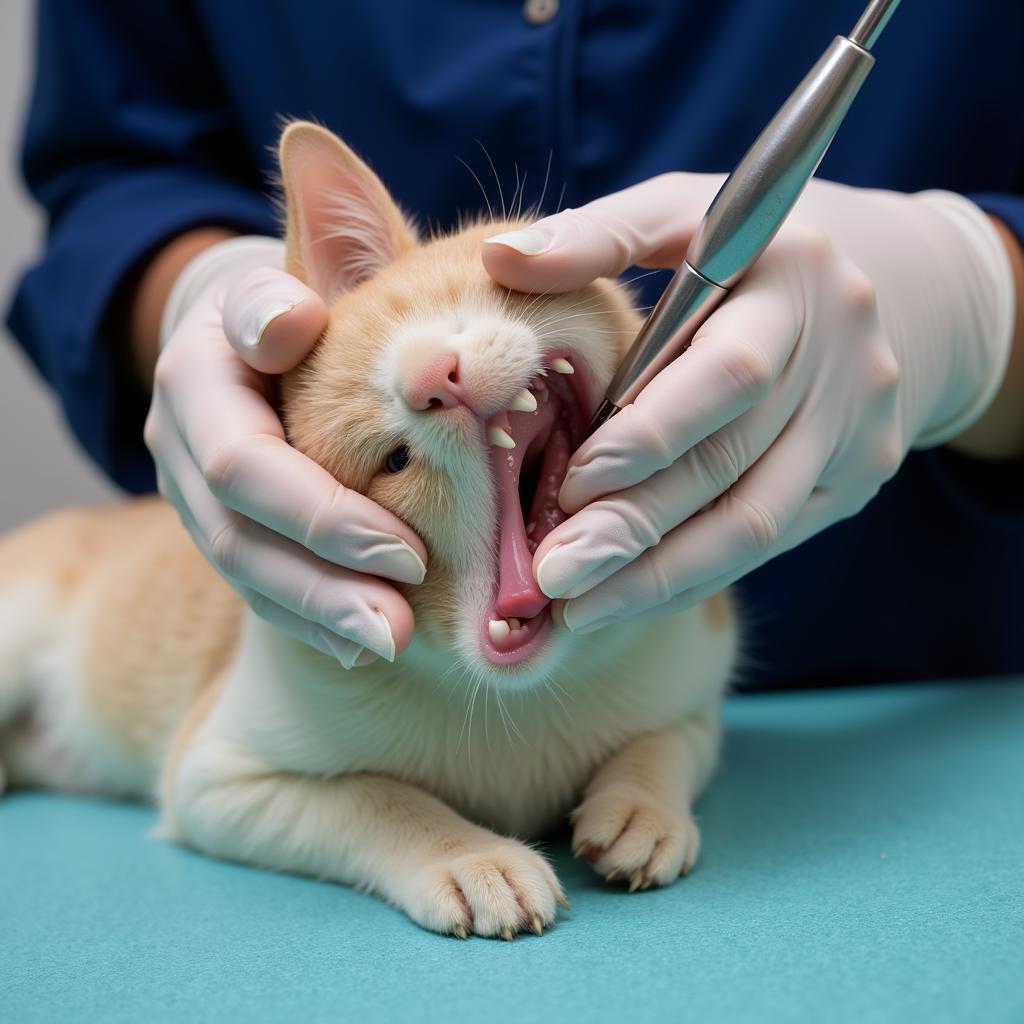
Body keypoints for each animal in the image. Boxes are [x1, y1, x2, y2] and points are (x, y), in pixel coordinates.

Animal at [0, 119, 737, 937]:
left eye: (456, 302)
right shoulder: (216, 778)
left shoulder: (694, 666)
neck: (517, 697)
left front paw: (643, 800)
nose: (433, 375)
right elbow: (373, 797)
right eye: (393, 461)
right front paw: (466, 853)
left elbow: (677, 736)